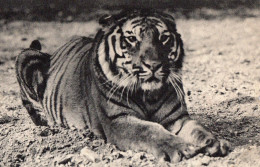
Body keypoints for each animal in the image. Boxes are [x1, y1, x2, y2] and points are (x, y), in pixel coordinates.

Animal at [14, 9, 230, 162]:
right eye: (132, 39)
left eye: (163, 38)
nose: (153, 65)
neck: (148, 95)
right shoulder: (117, 121)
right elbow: (150, 130)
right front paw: (181, 148)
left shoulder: (176, 117)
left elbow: (198, 128)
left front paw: (215, 142)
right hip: (26, 58)